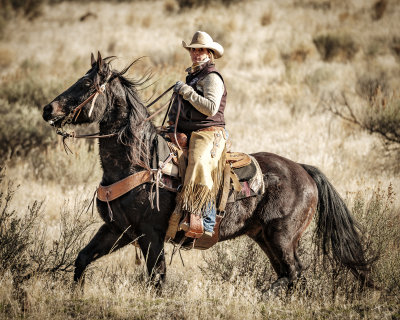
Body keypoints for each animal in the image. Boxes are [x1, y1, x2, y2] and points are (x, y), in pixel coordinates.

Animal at [42, 52, 374, 292]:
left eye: (86, 86)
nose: (48, 109)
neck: (140, 162)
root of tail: (303, 170)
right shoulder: (117, 229)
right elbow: (83, 258)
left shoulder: (151, 234)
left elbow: (157, 280)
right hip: (264, 237)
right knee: (291, 276)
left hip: (282, 236)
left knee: (294, 273)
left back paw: (263, 293)